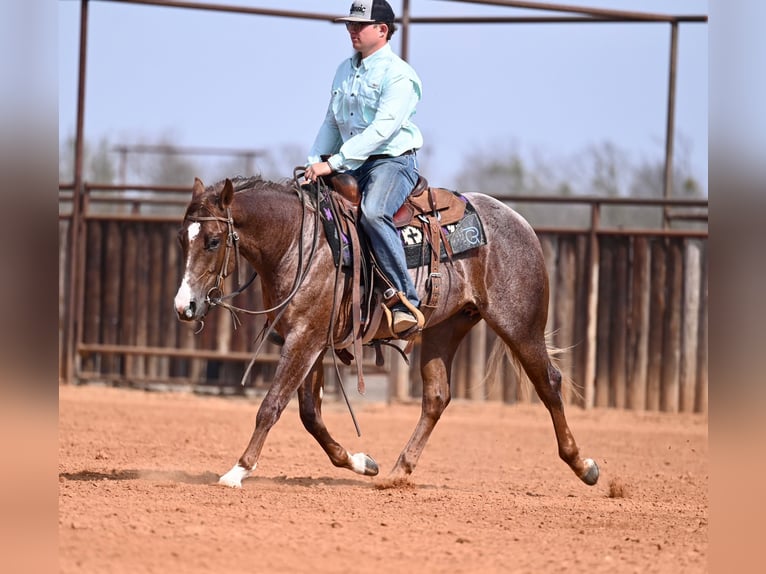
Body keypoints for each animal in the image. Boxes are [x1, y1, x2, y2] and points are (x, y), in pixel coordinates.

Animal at [173, 174, 599, 489]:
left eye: (213, 240)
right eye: (182, 239)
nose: (184, 306)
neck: (299, 240)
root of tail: (519, 221)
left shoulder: (305, 338)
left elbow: (272, 405)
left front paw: (238, 470)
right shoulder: (311, 339)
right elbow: (310, 414)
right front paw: (361, 462)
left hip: (520, 325)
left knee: (549, 383)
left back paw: (584, 465)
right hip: (446, 328)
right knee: (436, 397)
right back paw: (398, 471)